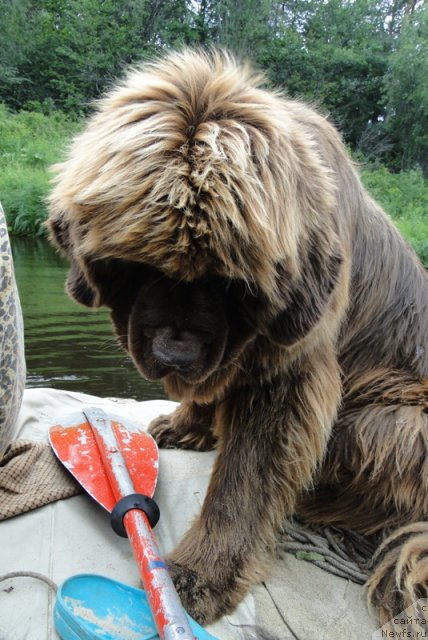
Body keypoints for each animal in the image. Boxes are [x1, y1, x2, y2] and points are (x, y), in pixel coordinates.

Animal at [46, 51, 428, 632]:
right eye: (141, 269)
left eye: (229, 284)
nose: (173, 354)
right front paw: (187, 423)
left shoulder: (289, 376)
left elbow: (245, 481)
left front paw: (200, 575)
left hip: (397, 422)